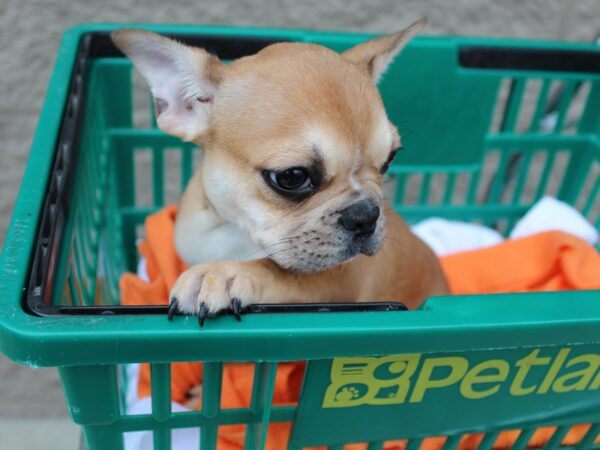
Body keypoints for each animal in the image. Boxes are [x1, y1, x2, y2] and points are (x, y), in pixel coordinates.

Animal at [113, 20, 450, 324]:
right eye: (292, 177)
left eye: (389, 159)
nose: (365, 215)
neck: (238, 230)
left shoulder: (336, 278)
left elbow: (279, 272)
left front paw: (223, 274)